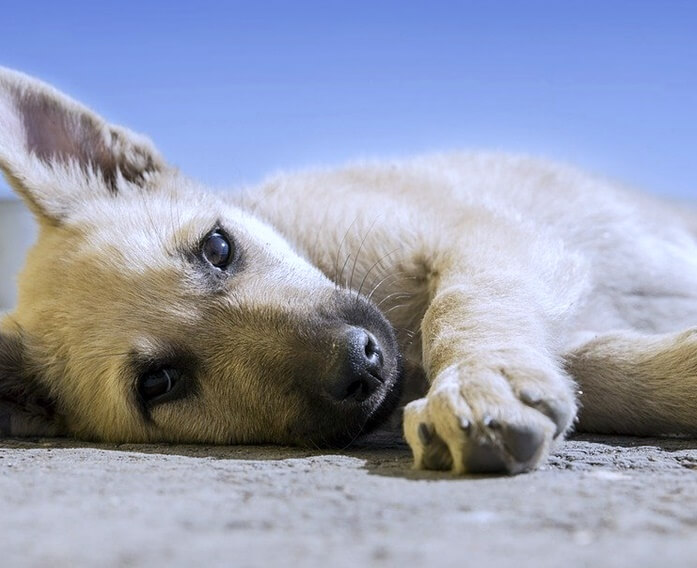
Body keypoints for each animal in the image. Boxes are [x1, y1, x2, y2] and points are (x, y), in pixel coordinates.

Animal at [1, 67, 696, 474]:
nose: (361, 362)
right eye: (159, 384)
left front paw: (479, 382)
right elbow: (598, 368)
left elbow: (462, 306)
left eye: (217, 248)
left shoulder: (487, 237)